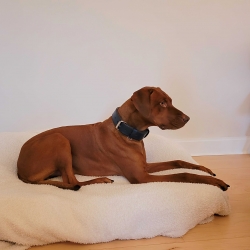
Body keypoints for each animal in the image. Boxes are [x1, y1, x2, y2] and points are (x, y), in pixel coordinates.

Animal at [16, 87, 229, 190]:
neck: (128, 133)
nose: (187, 118)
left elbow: (178, 161)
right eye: (162, 103)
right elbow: (183, 174)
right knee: (72, 182)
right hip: (59, 139)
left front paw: (205, 169)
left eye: (170, 101)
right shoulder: (141, 177)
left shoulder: (144, 166)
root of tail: (19, 169)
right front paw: (216, 182)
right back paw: (100, 180)